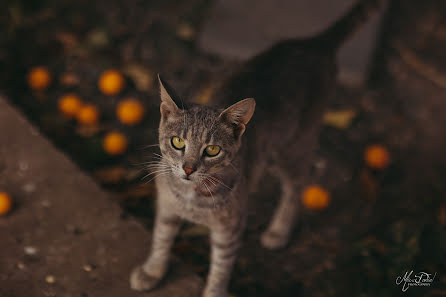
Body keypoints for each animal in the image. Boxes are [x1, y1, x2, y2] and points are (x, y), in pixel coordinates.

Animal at [131, 1, 382, 294]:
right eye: (178, 142)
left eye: (212, 150)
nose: (188, 168)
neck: (191, 198)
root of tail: (313, 43)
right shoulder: (167, 208)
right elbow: (161, 238)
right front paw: (152, 271)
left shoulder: (230, 229)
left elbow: (221, 266)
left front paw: (214, 291)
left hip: (295, 147)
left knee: (295, 188)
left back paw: (279, 230)